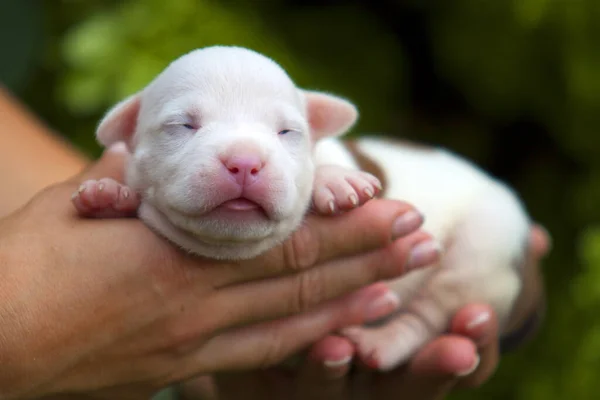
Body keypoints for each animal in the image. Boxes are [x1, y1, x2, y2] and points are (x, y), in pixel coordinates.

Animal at [71, 46, 528, 372]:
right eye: (183, 125)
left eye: (288, 131)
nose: (244, 161)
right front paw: (107, 197)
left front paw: (336, 180)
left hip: (483, 255)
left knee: (431, 312)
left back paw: (383, 342)